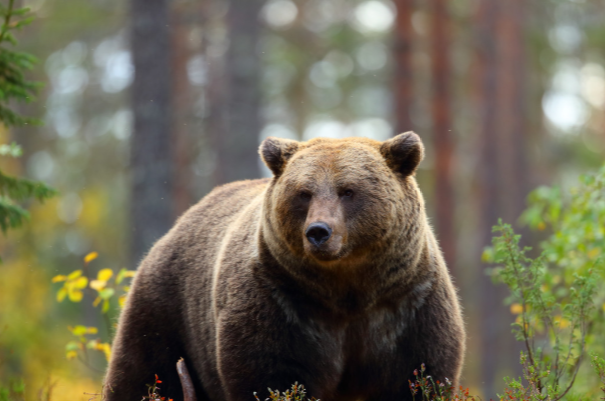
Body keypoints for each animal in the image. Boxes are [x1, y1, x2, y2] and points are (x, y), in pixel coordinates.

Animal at [105, 132, 462, 400]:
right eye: (304, 193)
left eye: (348, 190)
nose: (318, 231)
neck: (348, 290)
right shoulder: (281, 301)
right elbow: (272, 376)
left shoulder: (407, 304)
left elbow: (419, 374)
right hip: (167, 307)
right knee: (141, 372)